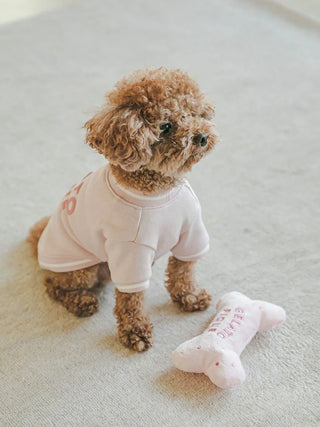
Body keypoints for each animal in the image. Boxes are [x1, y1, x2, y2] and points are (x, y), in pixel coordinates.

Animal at [27, 68, 219, 352]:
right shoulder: (130, 252)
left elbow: (183, 272)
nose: (202, 137)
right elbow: (132, 299)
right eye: (165, 126)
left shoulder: (191, 231)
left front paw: (190, 297)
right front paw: (136, 331)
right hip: (81, 269)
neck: (158, 190)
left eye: (193, 112)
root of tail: (40, 242)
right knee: (53, 285)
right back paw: (82, 302)